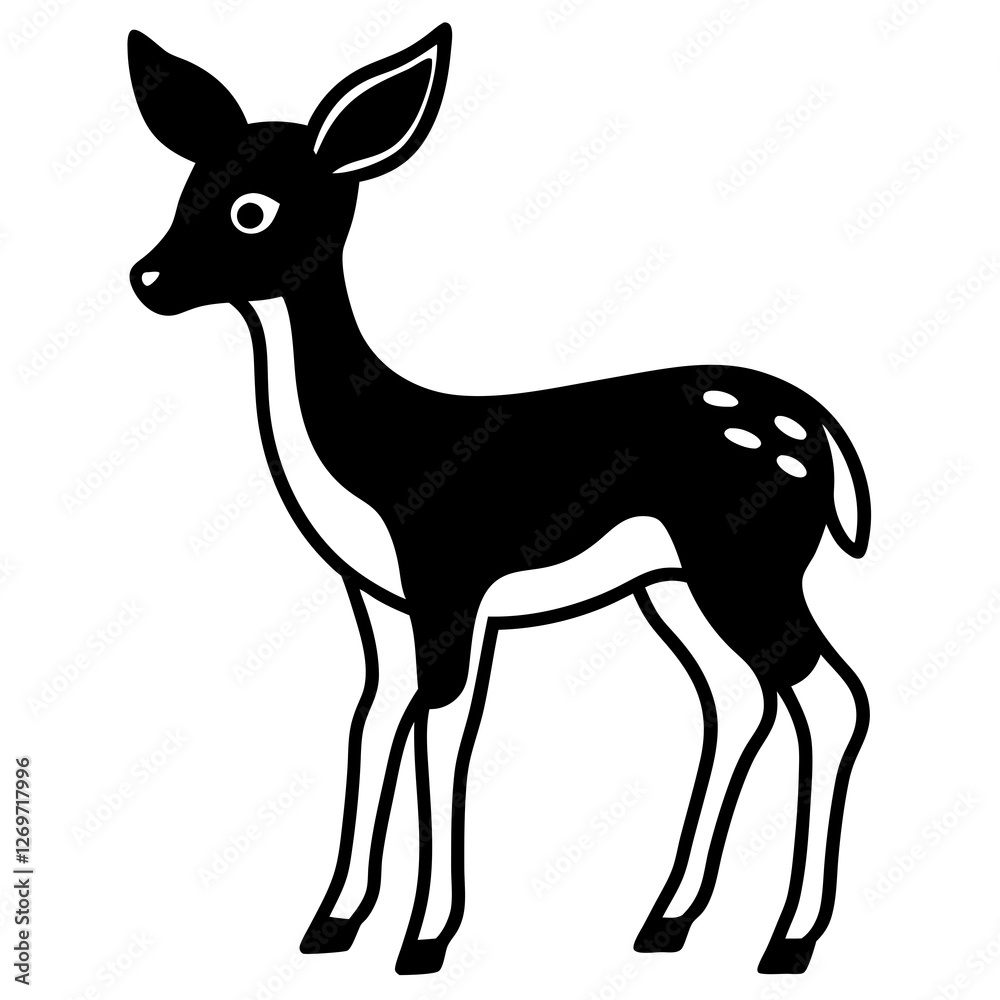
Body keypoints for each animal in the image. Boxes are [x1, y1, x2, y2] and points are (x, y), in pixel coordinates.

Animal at [127, 23, 872, 977]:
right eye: (187, 189)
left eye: (252, 210)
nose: (148, 278)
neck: (373, 448)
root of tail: (824, 432)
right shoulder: (377, 595)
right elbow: (373, 722)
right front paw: (332, 924)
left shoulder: (448, 572)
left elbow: (444, 733)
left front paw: (423, 939)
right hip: (676, 582)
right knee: (744, 700)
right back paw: (667, 922)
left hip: (747, 559)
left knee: (830, 695)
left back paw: (789, 940)